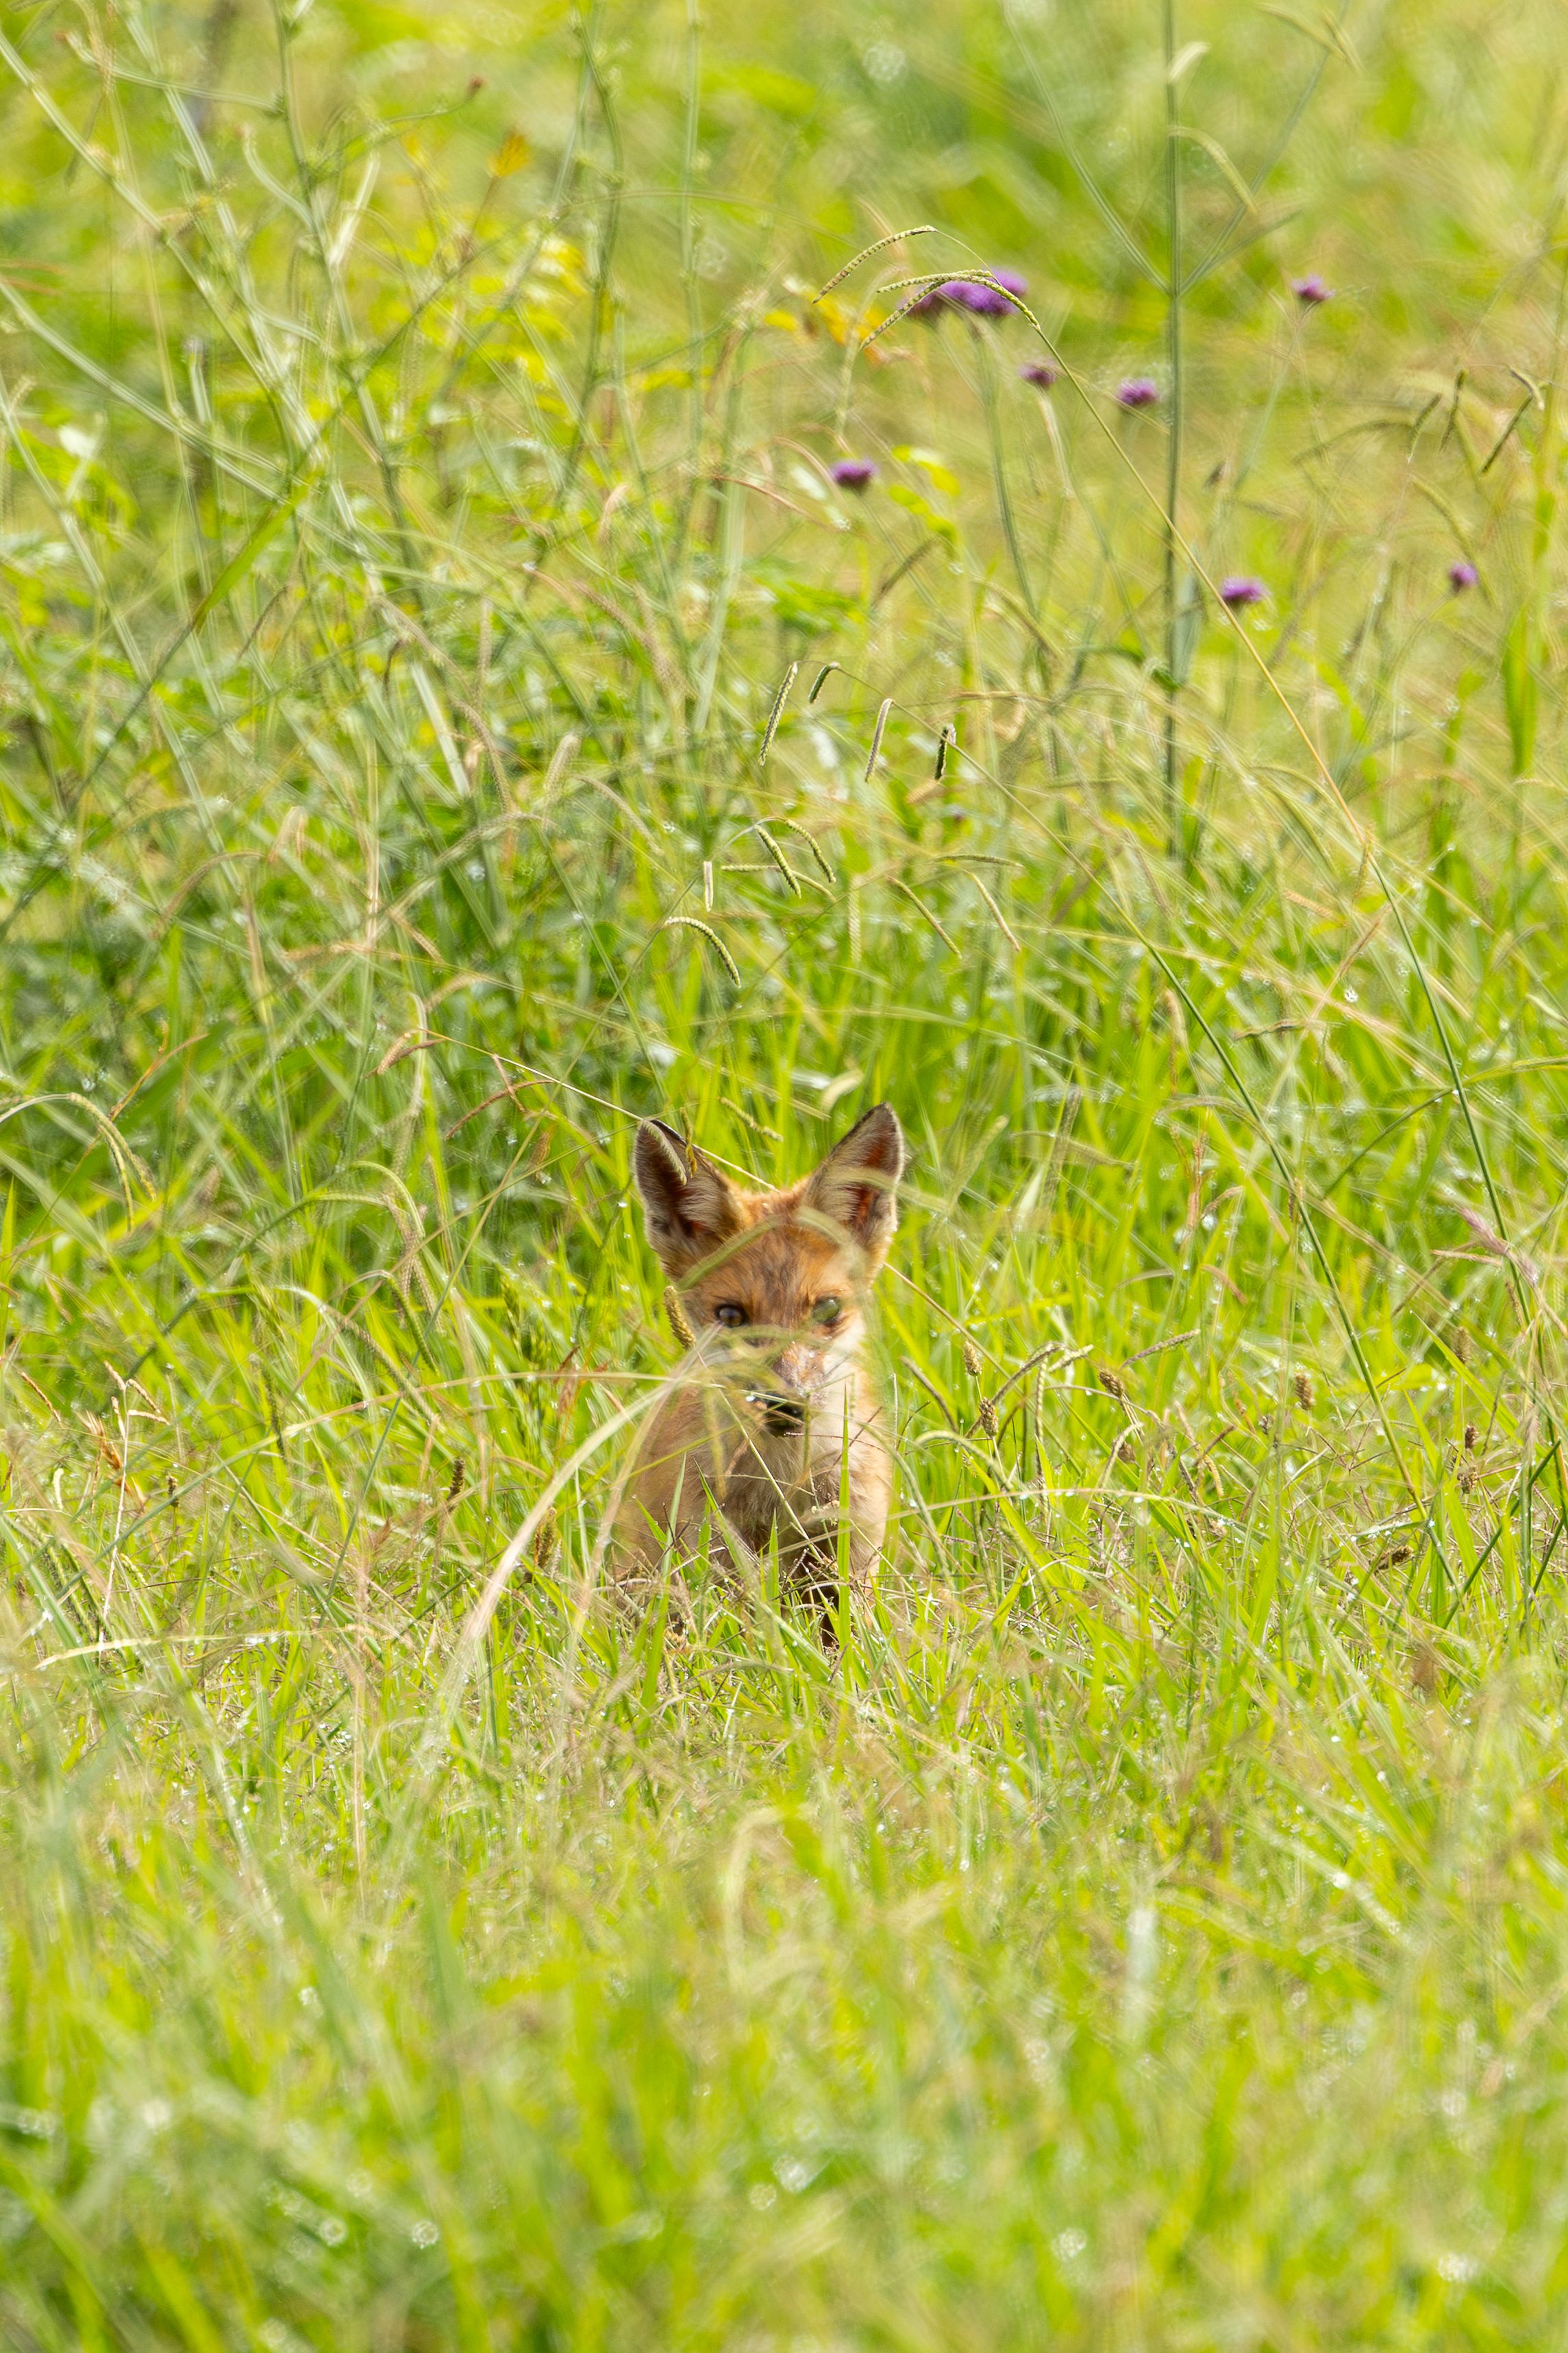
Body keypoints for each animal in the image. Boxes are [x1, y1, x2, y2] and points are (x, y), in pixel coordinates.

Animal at [615, 1102, 906, 1634]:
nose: (786, 1404)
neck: (780, 1481)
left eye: (827, 1310)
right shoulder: (710, 1542)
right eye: (731, 1316)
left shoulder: (850, 1547)